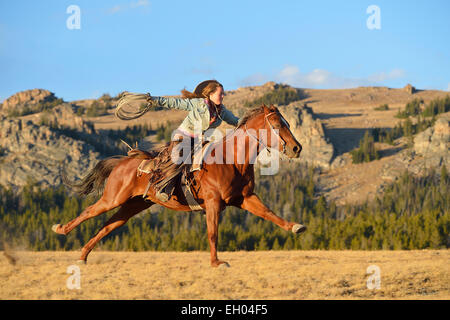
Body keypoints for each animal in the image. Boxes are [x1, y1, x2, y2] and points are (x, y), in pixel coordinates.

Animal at [52, 104, 306, 266]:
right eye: (276, 124)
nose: (297, 148)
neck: (231, 159)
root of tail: (122, 162)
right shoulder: (213, 203)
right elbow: (212, 233)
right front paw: (216, 262)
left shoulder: (244, 198)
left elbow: (270, 214)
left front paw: (296, 227)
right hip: (113, 198)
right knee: (89, 211)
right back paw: (61, 229)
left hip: (133, 205)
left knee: (108, 226)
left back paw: (83, 256)